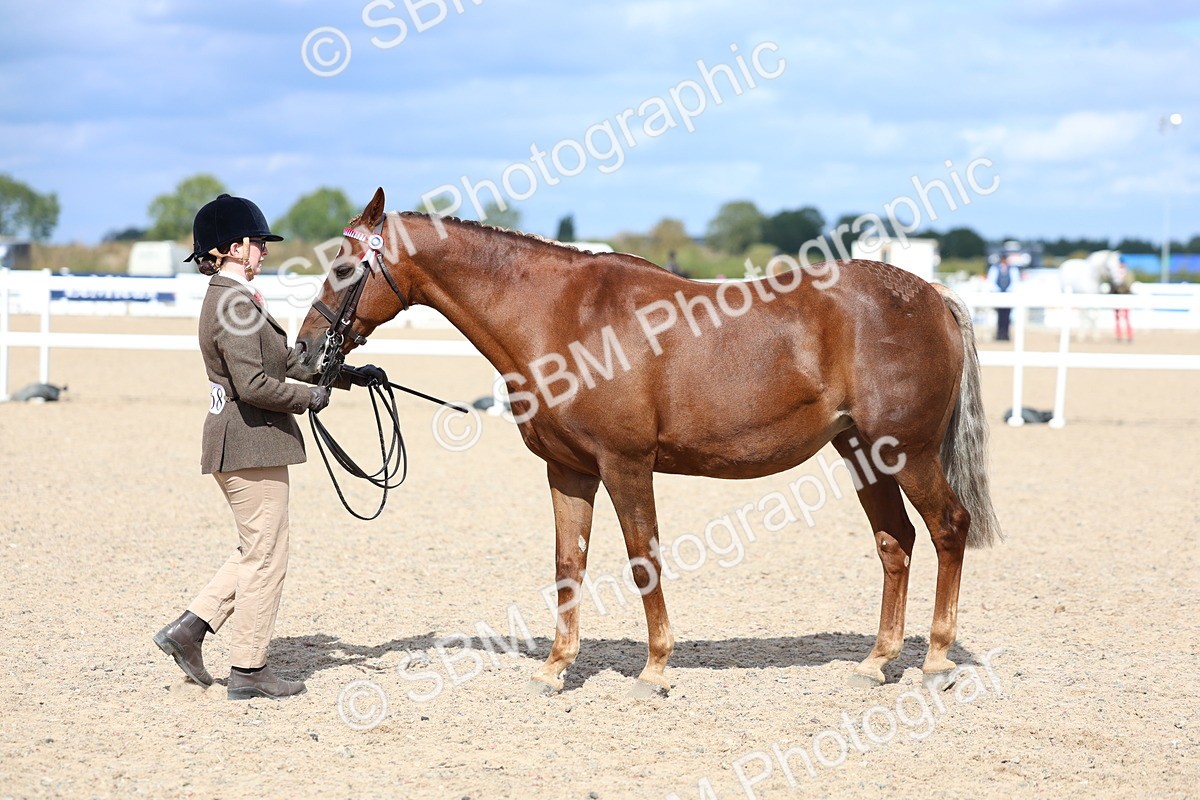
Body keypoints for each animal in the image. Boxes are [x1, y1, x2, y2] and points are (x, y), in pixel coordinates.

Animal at [295, 188, 1002, 696]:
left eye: (344, 267)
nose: (304, 350)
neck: (563, 317)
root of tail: (931, 295)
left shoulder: (626, 465)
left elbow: (643, 559)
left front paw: (655, 669)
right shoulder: (569, 472)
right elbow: (569, 565)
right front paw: (556, 667)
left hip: (907, 453)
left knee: (948, 527)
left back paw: (936, 661)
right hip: (862, 454)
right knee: (896, 544)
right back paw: (876, 661)